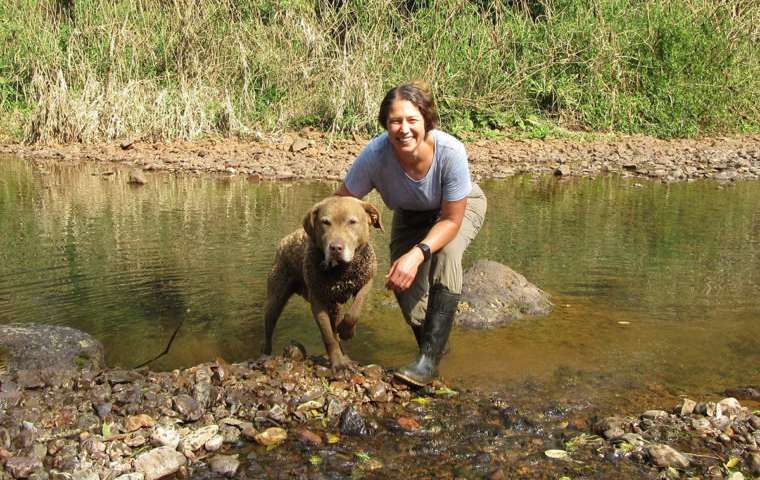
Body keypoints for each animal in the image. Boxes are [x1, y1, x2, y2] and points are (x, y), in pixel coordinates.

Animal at [262, 197, 382, 370]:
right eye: (325, 222)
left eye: (352, 222)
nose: (336, 248)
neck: (341, 272)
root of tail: (285, 239)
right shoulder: (318, 301)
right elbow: (328, 336)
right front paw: (338, 363)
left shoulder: (366, 279)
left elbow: (354, 311)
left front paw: (347, 331)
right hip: (276, 297)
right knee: (268, 329)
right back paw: (265, 354)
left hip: (334, 307)